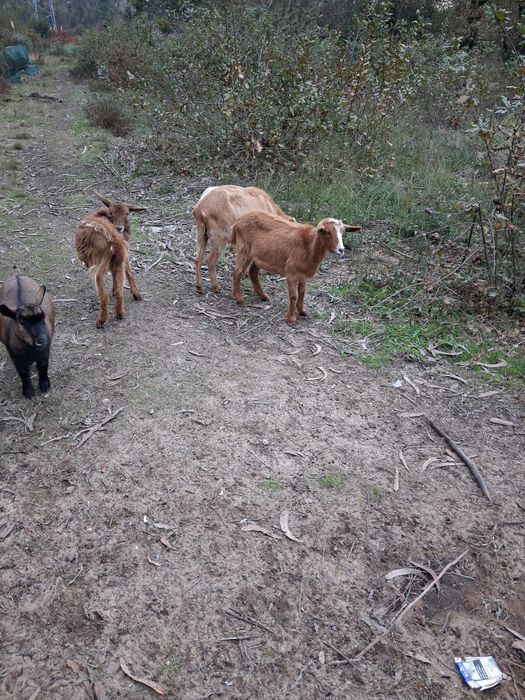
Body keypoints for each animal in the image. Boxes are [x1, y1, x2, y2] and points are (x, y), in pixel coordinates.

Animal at [75, 192, 146, 328]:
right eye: (111, 212)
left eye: (127, 213)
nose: (119, 228)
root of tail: (114, 240)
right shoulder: (122, 259)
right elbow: (127, 271)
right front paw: (135, 293)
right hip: (118, 261)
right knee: (120, 289)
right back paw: (120, 313)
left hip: (100, 266)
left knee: (103, 294)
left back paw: (101, 321)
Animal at [231, 212, 361, 323]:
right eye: (327, 232)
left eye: (343, 232)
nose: (341, 249)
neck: (309, 246)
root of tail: (238, 221)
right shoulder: (292, 273)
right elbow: (293, 296)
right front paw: (291, 318)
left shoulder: (303, 274)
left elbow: (302, 292)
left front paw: (302, 311)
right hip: (244, 249)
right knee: (237, 272)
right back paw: (239, 299)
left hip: (258, 256)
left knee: (253, 272)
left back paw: (263, 296)